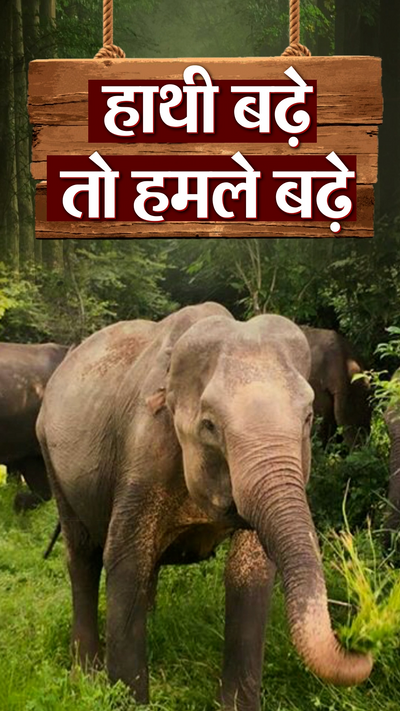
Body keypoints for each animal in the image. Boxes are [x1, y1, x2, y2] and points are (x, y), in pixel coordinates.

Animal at [36, 305, 372, 711]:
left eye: (308, 416)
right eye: (210, 425)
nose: (362, 644)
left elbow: (250, 571)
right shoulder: (141, 455)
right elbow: (125, 560)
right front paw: (128, 700)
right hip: (52, 459)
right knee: (83, 554)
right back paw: (85, 671)